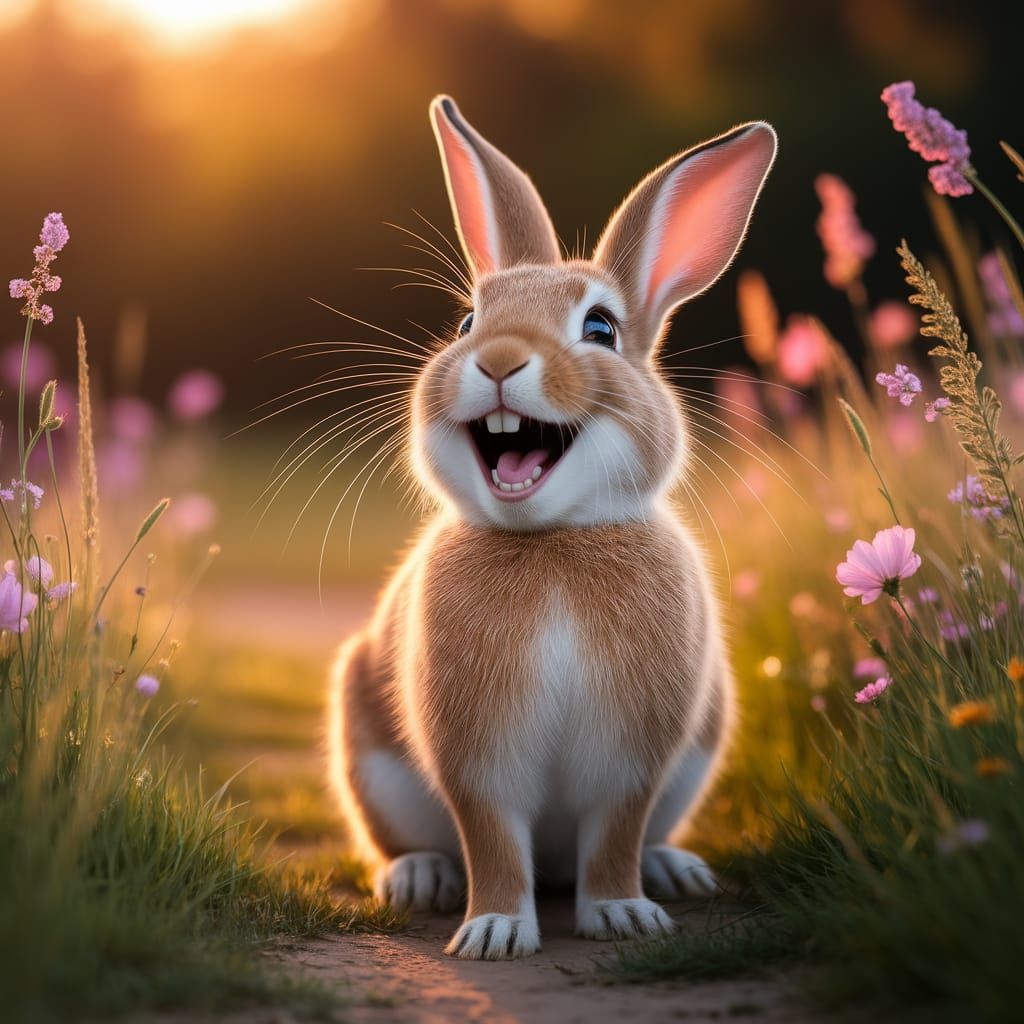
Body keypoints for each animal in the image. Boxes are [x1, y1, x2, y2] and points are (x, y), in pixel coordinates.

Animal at [327, 95, 777, 960]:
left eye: (600, 329)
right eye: (469, 321)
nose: (499, 360)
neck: (553, 541)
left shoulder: (636, 761)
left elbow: (616, 835)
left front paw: (624, 916)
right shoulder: (477, 760)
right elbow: (494, 840)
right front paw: (495, 932)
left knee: (641, 839)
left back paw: (673, 872)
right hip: (374, 764)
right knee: (406, 843)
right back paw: (420, 878)